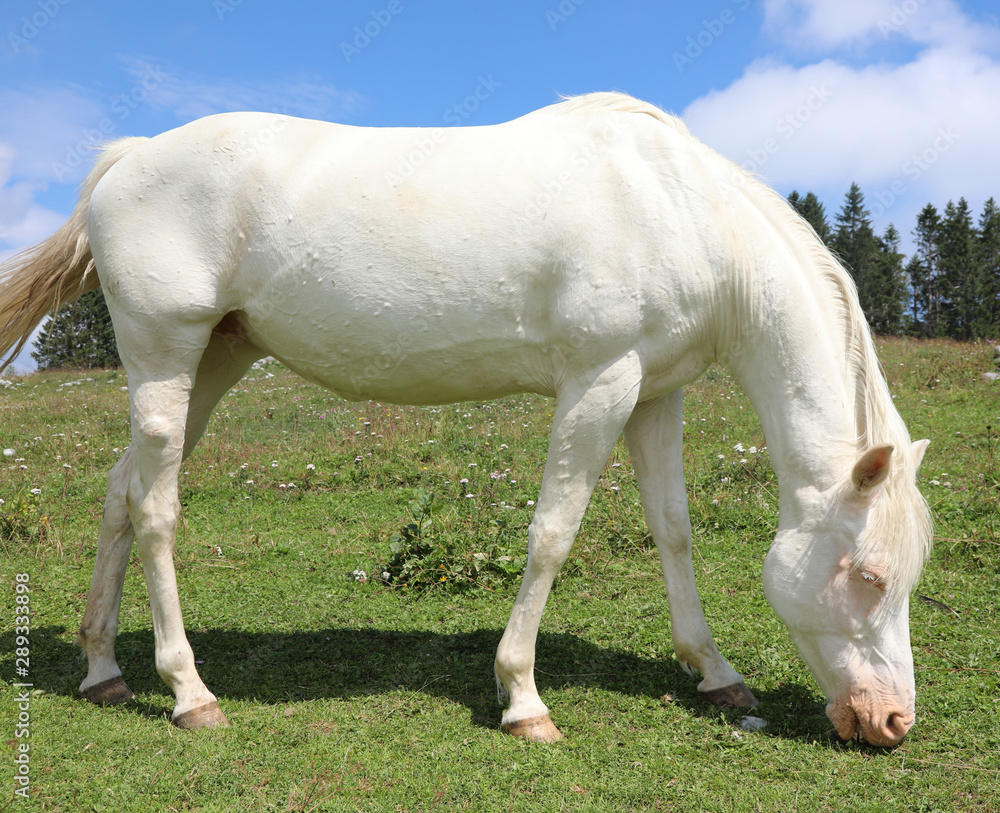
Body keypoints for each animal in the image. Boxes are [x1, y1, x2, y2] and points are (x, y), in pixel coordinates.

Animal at [0, 93, 932, 746]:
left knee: (121, 494)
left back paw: (102, 668)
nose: (891, 721)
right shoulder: (599, 383)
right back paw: (189, 693)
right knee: (156, 510)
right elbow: (552, 533)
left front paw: (716, 672)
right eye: (870, 575)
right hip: (165, 358)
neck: (679, 208)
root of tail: (128, 161)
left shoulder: (653, 394)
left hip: (212, 364)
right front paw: (523, 698)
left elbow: (673, 529)